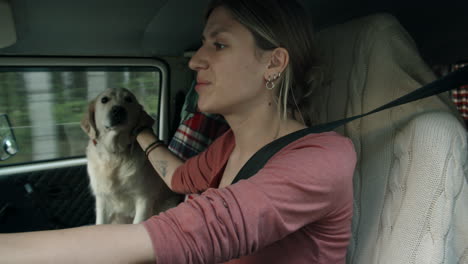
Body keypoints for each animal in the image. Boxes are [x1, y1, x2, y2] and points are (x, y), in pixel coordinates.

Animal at [80, 87, 179, 224]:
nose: (118, 110)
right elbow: (100, 221)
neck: (115, 155)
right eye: (104, 100)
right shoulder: (102, 199)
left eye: (128, 99)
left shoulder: (144, 199)